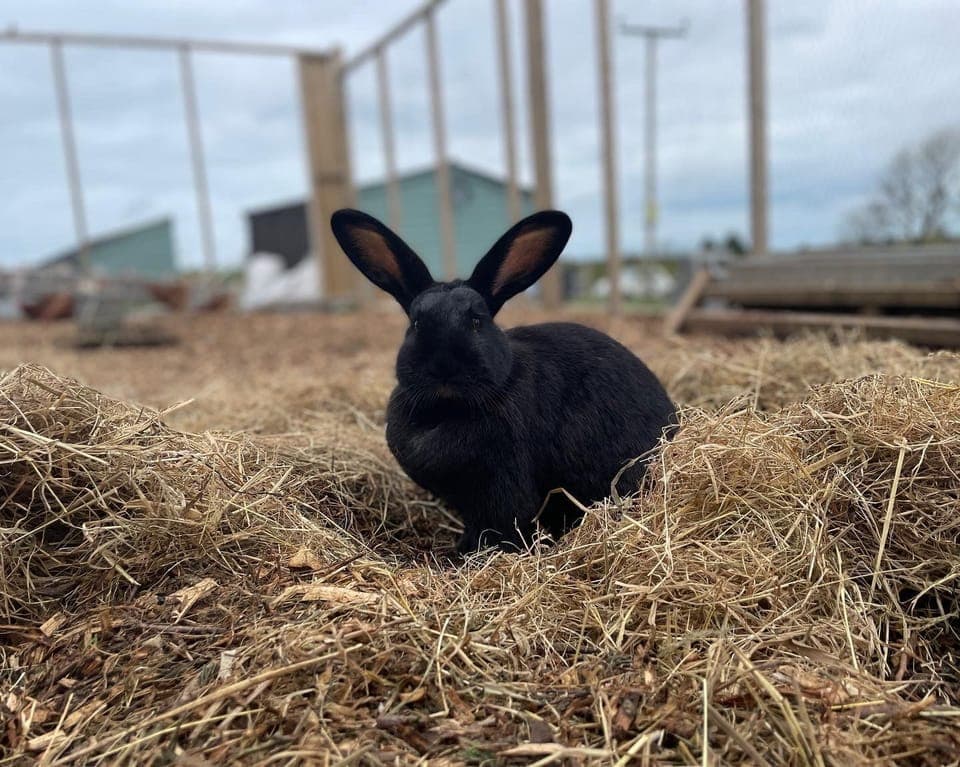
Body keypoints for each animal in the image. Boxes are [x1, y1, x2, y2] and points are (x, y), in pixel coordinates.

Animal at [330, 208, 677, 554]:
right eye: (416, 324)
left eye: (476, 321)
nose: (444, 367)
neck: (446, 409)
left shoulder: (502, 486)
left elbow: (497, 527)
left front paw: (457, 556)